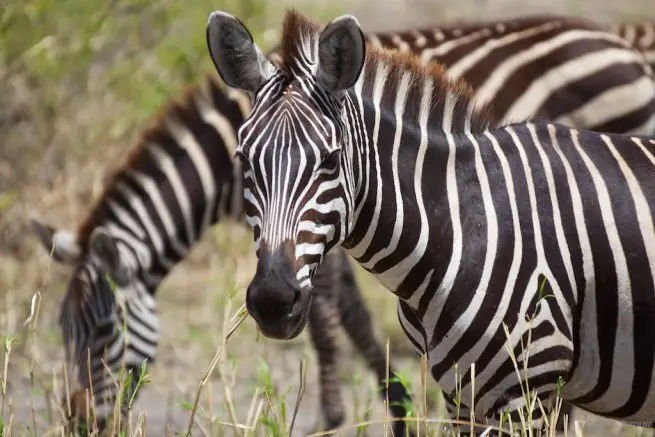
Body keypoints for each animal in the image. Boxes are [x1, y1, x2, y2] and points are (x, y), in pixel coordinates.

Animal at [29, 76, 410, 434]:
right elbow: (354, 312)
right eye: (63, 330)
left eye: (106, 330)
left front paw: (334, 419)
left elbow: (326, 321)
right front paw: (399, 404)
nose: (79, 424)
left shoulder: (312, 228)